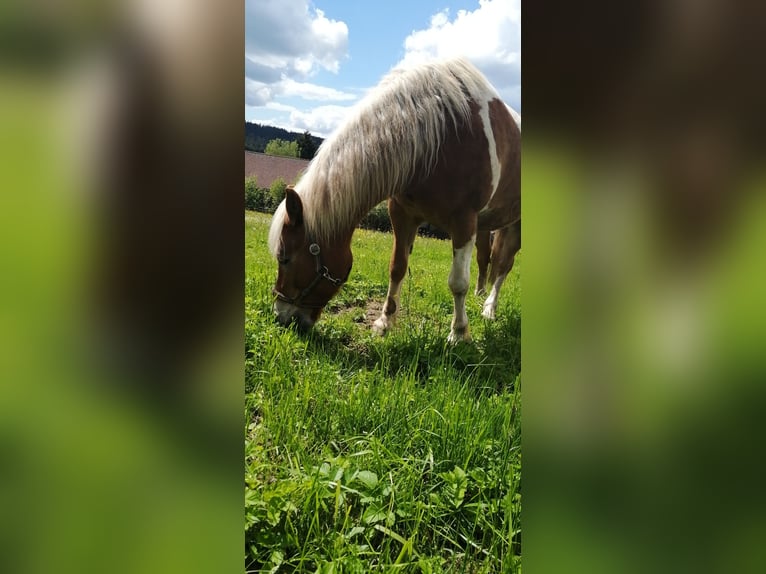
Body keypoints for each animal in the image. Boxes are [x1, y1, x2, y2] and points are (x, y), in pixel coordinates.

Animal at [268, 58, 520, 344]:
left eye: (284, 258)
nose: (281, 316)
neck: (441, 137)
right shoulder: (402, 214)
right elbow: (397, 267)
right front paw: (385, 322)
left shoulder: (463, 222)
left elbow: (458, 282)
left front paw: (458, 333)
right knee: (488, 260)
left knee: (503, 267)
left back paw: (489, 309)